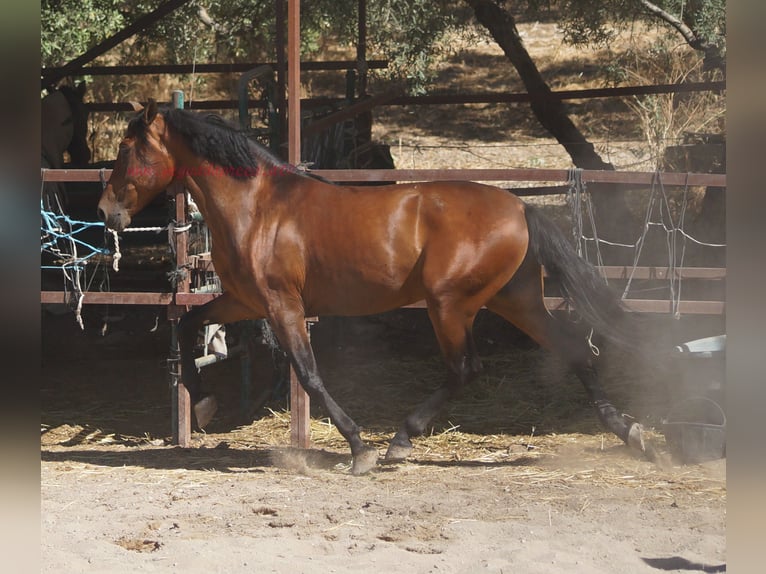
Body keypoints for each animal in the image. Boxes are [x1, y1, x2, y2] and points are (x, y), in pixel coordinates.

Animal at [97, 99, 645, 474]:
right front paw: (204, 405)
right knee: (573, 349)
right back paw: (629, 431)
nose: (106, 212)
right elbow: (188, 325)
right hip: (517, 300)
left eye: (126, 150)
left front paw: (359, 448)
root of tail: (521, 207)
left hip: (450, 305)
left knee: (465, 368)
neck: (258, 207)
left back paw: (399, 441)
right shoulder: (244, 301)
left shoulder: (281, 304)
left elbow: (308, 374)